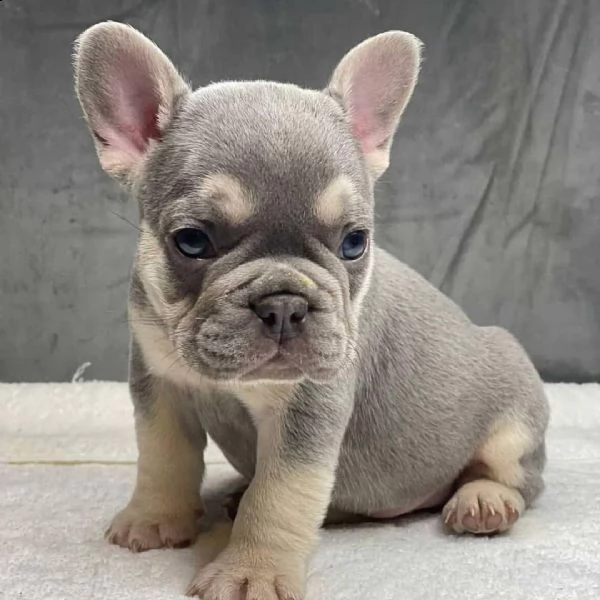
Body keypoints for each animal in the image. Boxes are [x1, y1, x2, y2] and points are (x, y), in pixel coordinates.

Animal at [72, 22, 548, 600]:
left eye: (354, 242)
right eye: (192, 241)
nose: (285, 303)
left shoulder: (307, 409)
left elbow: (279, 496)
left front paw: (250, 571)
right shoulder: (159, 383)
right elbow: (163, 456)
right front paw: (155, 517)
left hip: (515, 418)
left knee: (518, 476)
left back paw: (483, 499)